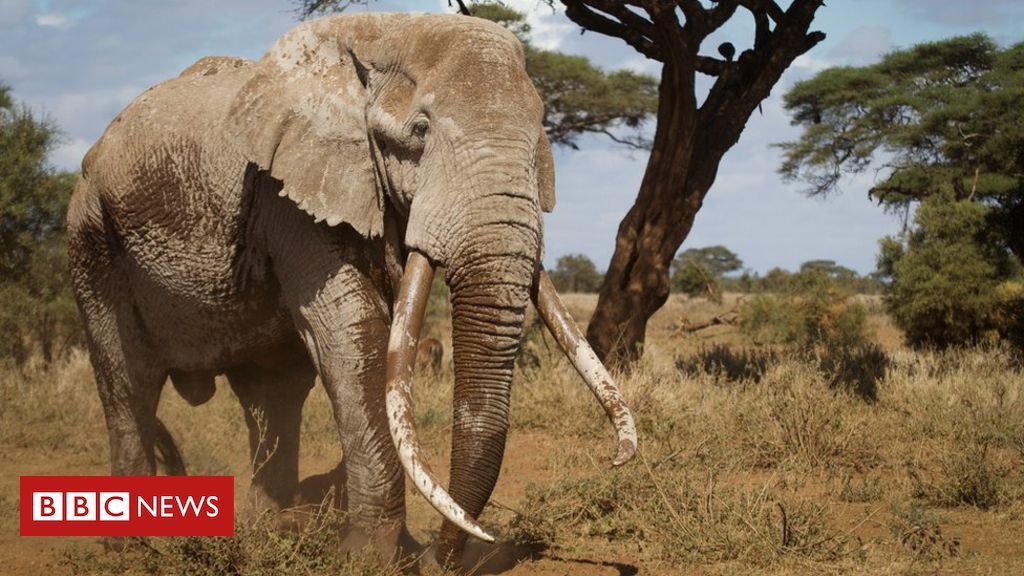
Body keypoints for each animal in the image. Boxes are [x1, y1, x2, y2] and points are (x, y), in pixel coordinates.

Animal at [68, 12, 637, 568]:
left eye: (539, 136)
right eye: (420, 131)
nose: (444, 558)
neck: (385, 30)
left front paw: (392, 554)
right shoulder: (286, 193)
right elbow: (354, 332)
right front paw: (373, 558)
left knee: (272, 393)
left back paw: (272, 529)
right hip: (92, 240)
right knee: (129, 383)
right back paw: (132, 550)